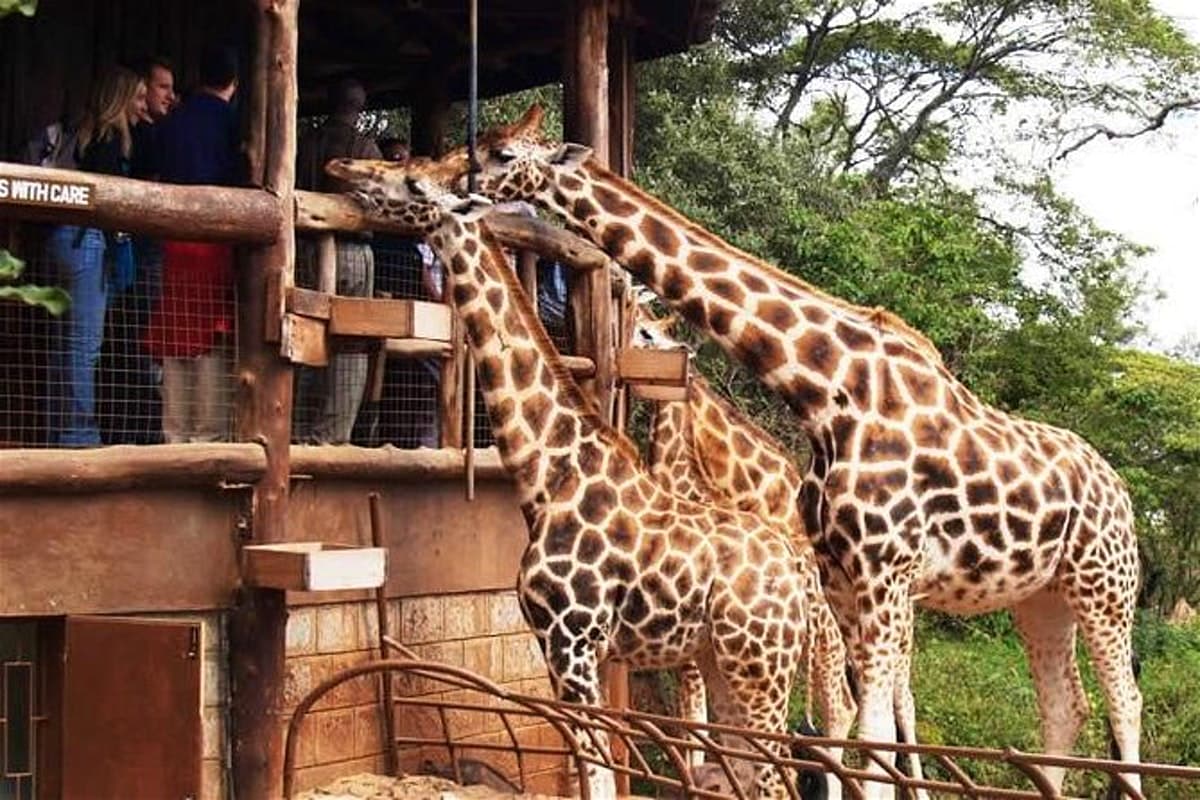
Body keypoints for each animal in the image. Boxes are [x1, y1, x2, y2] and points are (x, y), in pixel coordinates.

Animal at [325, 154, 816, 799]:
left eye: (411, 181)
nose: (343, 167)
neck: (549, 473)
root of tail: (798, 578)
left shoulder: (573, 642)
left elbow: (599, 770)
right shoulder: (556, 645)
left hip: (760, 666)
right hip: (724, 661)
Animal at [458, 106, 1144, 798]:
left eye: (501, 153)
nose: (454, 183)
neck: (826, 390)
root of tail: (1119, 489)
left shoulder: (886, 573)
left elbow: (865, 728)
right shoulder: (843, 577)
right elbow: (845, 723)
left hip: (1104, 584)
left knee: (1125, 701)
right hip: (1041, 595)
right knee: (1064, 704)